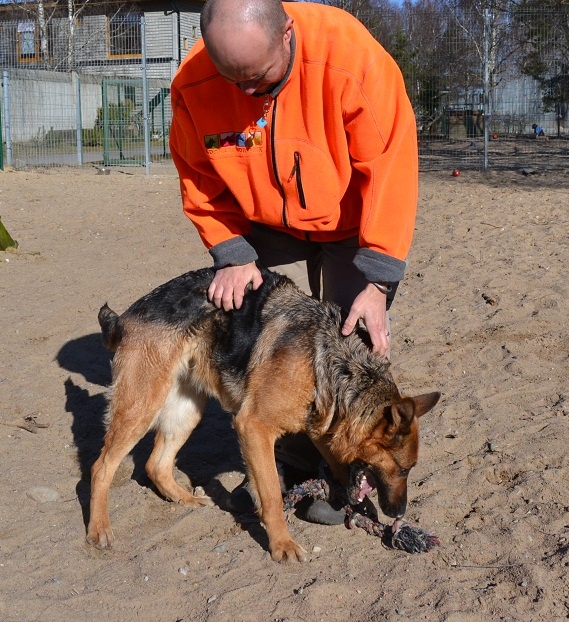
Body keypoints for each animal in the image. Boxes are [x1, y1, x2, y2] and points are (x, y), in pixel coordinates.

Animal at [86, 267, 440, 562]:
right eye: (404, 469)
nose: (399, 513)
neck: (330, 360)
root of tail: (127, 315)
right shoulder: (253, 427)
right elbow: (270, 495)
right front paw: (282, 544)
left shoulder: (320, 427)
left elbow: (337, 466)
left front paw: (349, 502)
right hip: (140, 408)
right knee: (101, 467)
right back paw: (99, 529)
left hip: (187, 410)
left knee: (155, 465)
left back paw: (186, 499)